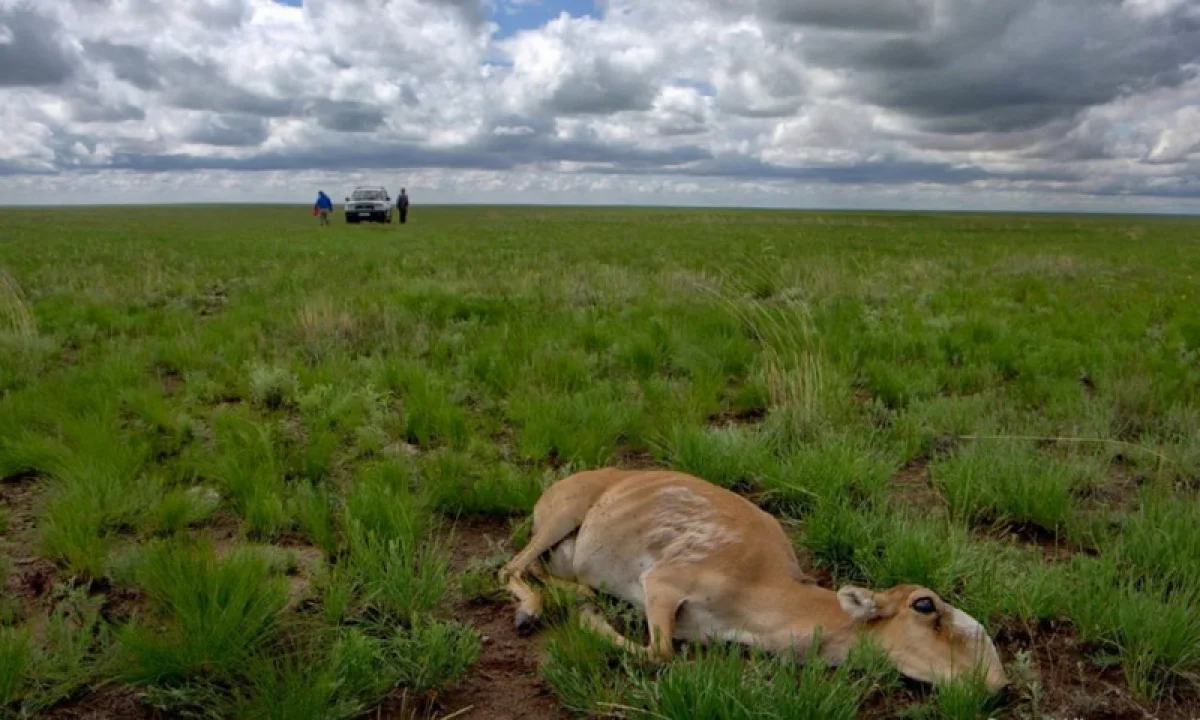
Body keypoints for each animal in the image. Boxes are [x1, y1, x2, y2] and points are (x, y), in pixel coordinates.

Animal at [499, 468, 1012, 691]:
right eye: (924, 604)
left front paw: (586, 610)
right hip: (560, 517)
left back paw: (575, 595)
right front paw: (588, 621)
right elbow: (660, 654)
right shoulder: (663, 583)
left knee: (543, 571)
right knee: (510, 566)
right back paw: (531, 611)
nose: (998, 682)